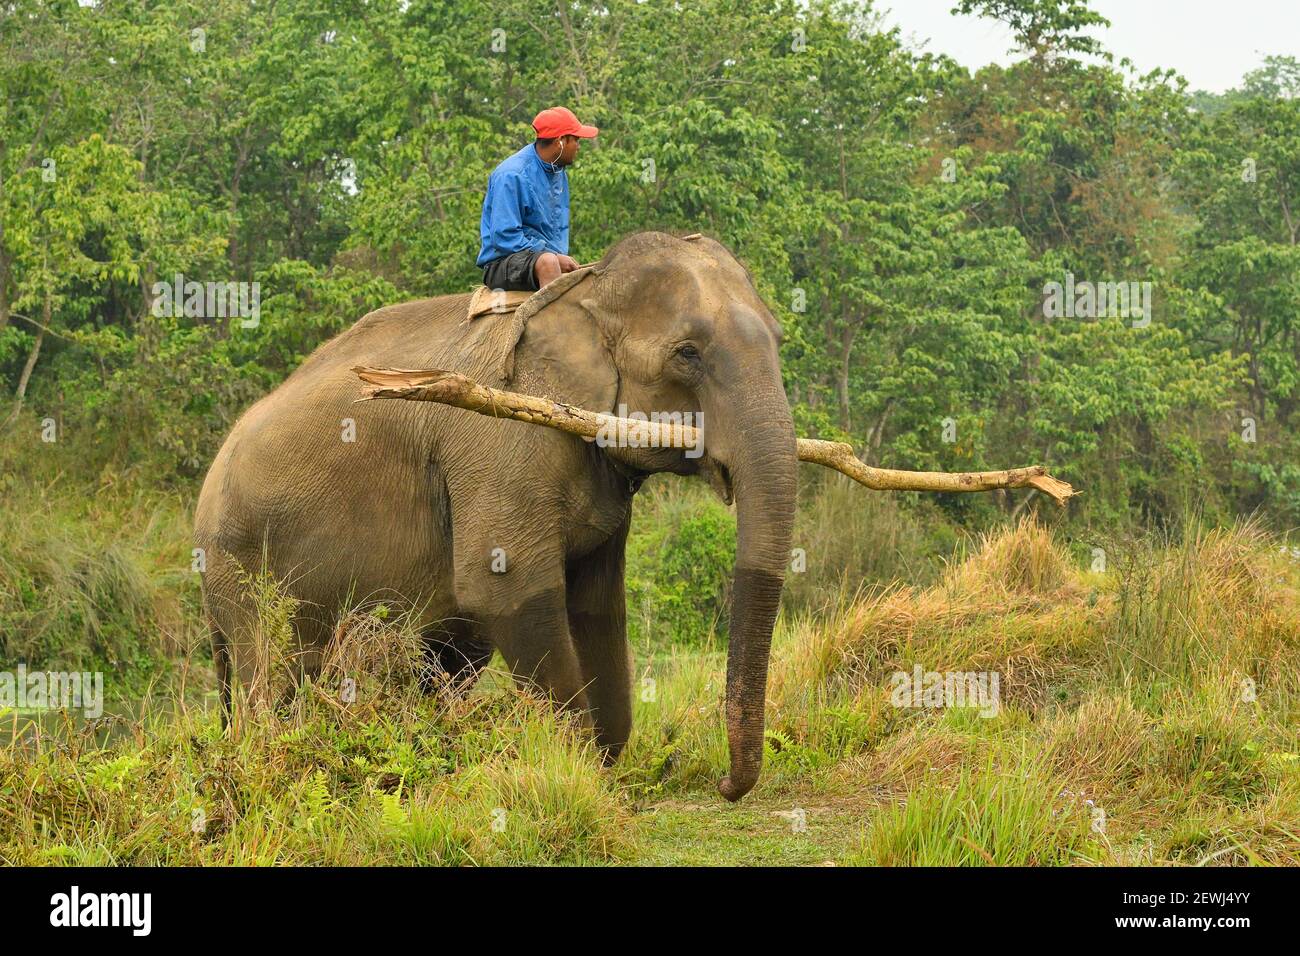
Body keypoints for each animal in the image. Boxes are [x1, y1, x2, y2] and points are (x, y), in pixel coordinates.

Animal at [194, 230, 796, 801]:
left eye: (779, 340)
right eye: (687, 354)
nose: (724, 785)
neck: (586, 291)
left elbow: (598, 601)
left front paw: (604, 765)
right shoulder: (498, 444)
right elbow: (505, 587)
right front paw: (579, 768)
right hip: (240, 569)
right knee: (272, 679)